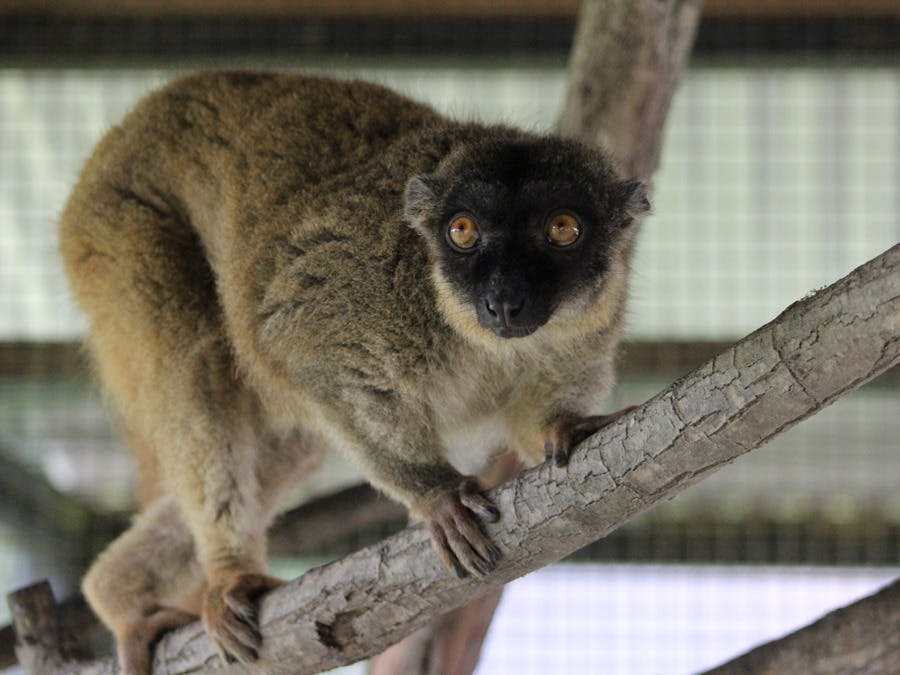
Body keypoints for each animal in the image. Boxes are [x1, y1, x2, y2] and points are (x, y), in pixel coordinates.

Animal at [59, 71, 648, 674]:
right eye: (463, 231)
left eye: (563, 229)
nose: (504, 299)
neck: (477, 339)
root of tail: (127, 125)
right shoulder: (364, 289)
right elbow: (299, 349)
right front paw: (435, 492)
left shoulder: (594, 323)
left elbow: (538, 422)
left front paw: (565, 426)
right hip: (117, 225)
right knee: (194, 370)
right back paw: (227, 570)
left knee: (286, 449)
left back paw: (118, 596)